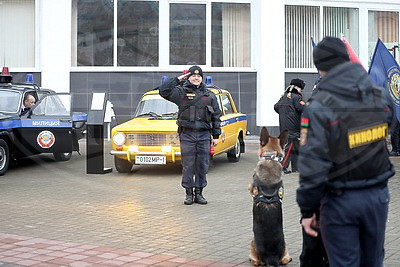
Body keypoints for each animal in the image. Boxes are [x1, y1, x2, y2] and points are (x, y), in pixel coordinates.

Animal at [248, 127, 292, 267]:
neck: (270, 158)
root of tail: (271, 257)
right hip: (285, 247)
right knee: (285, 259)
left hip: (252, 243)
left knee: (255, 262)